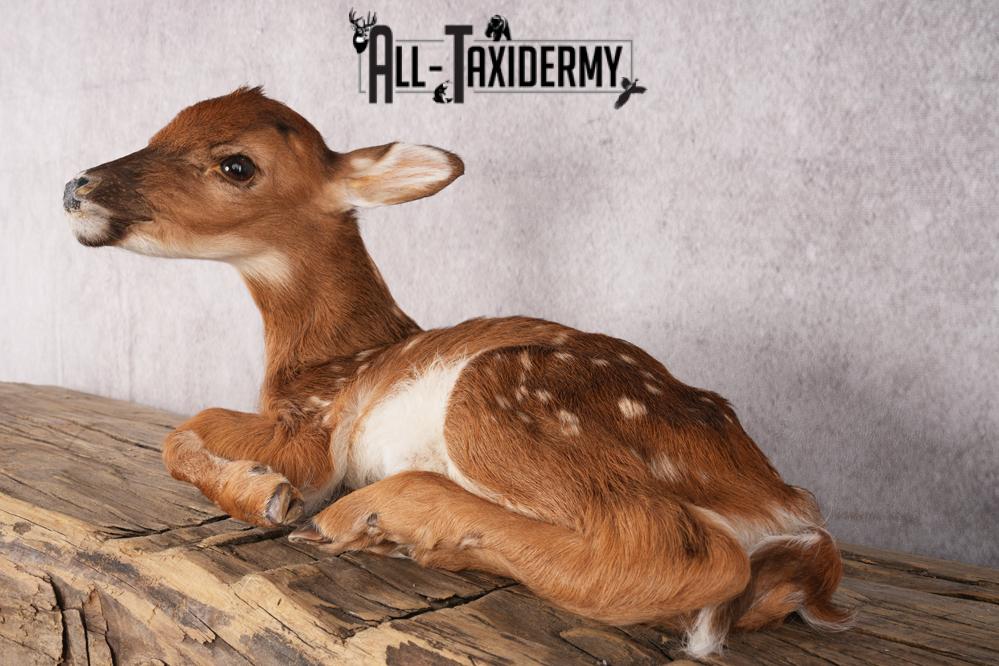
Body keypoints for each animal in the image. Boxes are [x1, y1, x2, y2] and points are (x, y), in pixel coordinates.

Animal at [62, 87, 851, 658]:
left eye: (235, 164)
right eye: (159, 130)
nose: (76, 187)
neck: (332, 354)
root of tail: (784, 505)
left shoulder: (316, 425)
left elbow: (185, 431)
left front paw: (269, 496)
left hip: (504, 400)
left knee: (680, 553)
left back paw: (380, 516)